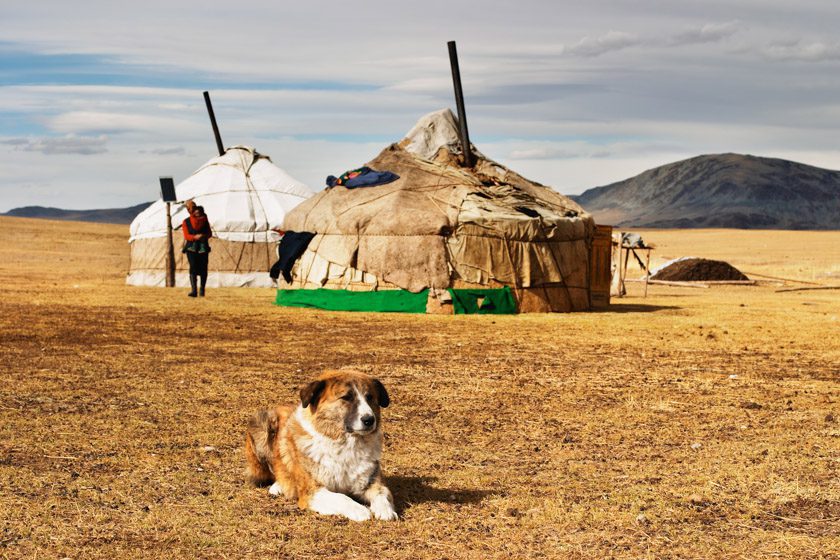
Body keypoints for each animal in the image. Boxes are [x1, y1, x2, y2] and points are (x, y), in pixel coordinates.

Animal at [244, 370, 398, 524]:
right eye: (346, 397)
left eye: (370, 397)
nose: (369, 420)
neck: (344, 444)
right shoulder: (312, 491)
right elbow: (341, 497)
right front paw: (360, 510)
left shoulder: (371, 482)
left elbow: (383, 493)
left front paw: (385, 510)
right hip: (264, 424)